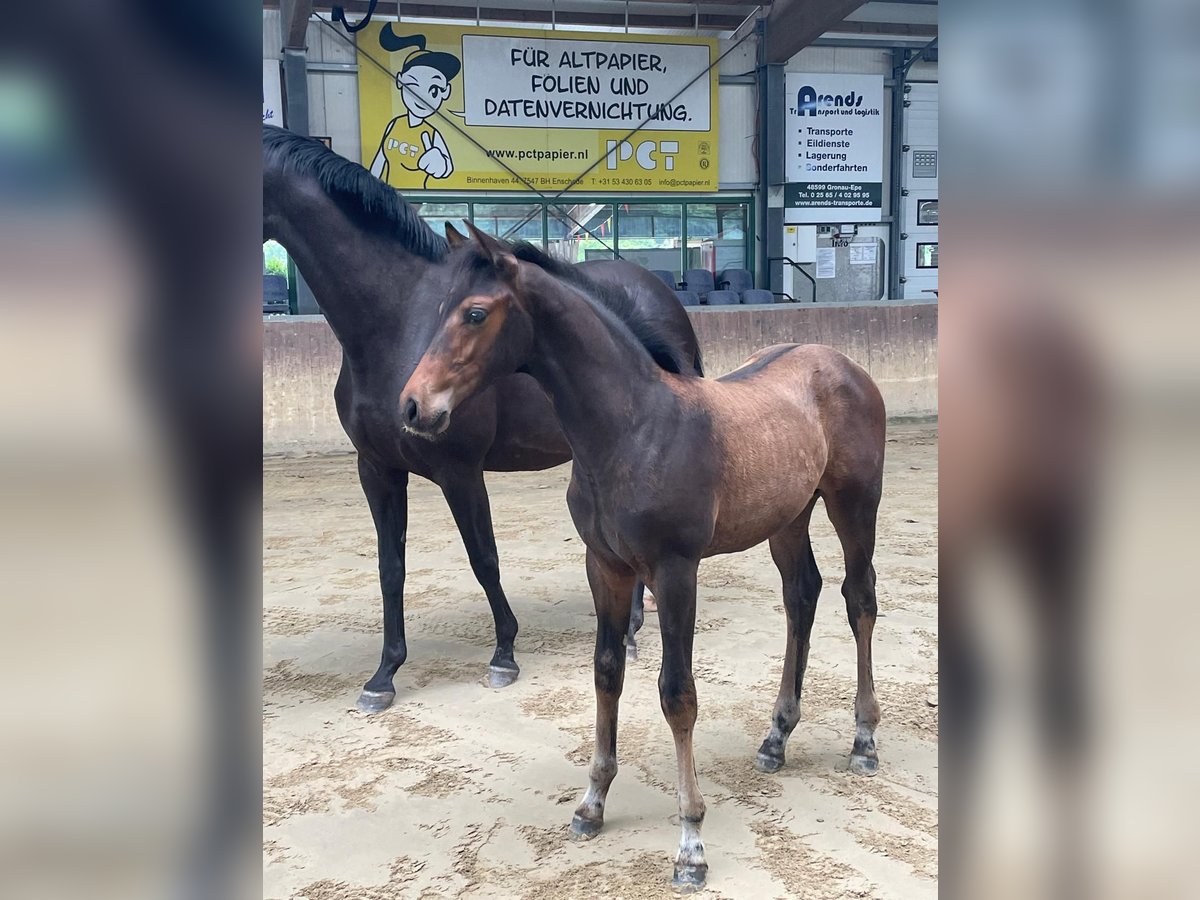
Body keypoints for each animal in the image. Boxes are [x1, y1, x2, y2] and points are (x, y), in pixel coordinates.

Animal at [258, 125, 700, 710]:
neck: (393, 323)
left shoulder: (460, 471)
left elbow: (483, 557)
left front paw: (504, 653)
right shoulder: (376, 470)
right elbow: (390, 567)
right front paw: (384, 674)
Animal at [398, 226, 888, 897]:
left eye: (474, 313)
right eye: (441, 306)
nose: (412, 406)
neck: (633, 431)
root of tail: (846, 365)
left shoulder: (675, 572)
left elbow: (676, 694)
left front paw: (690, 843)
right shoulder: (605, 567)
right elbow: (607, 673)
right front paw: (592, 803)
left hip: (853, 505)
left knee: (859, 599)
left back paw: (863, 739)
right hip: (788, 518)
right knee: (802, 596)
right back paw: (776, 737)